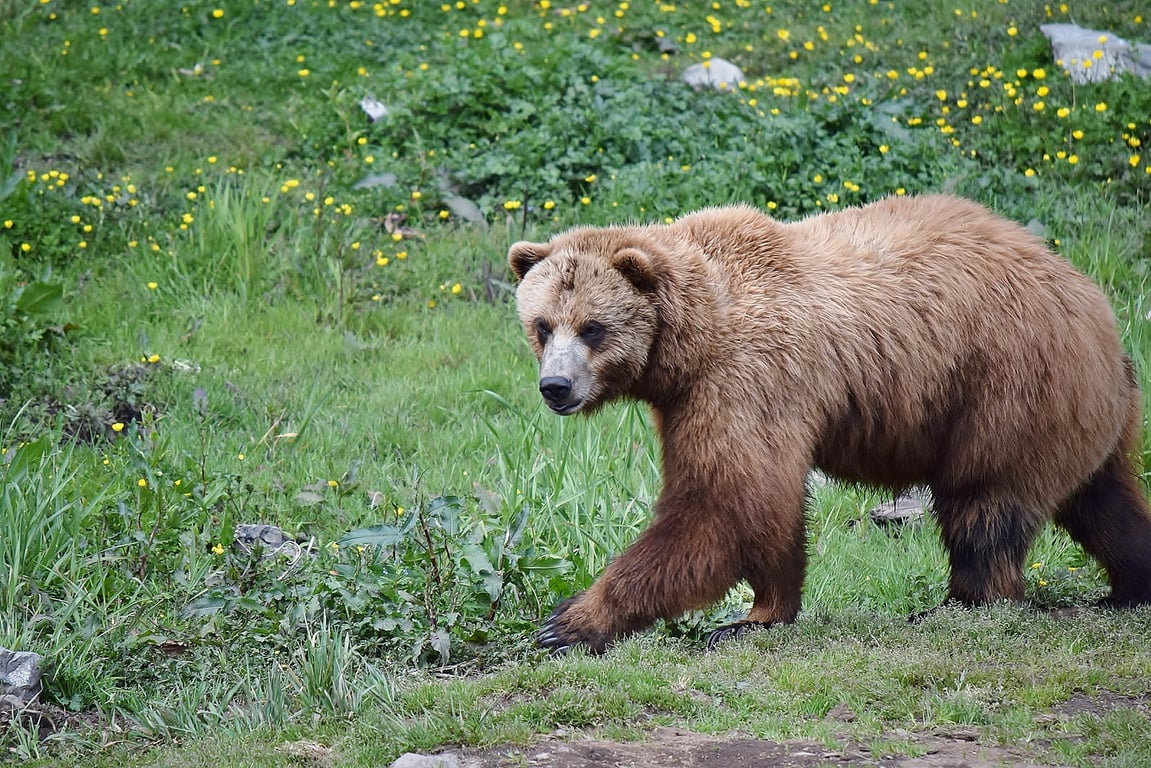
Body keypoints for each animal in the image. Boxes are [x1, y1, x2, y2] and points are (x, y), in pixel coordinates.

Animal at [507, 194, 1151, 654]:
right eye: (542, 324)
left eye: (593, 328)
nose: (555, 387)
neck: (691, 340)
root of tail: (1095, 303)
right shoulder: (693, 398)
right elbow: (760, 514)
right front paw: (761, 612)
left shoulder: (747, 377)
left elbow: (725, 503)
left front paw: (570, 621)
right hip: (1081, 411)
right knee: (1103, 499)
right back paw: (1129, 585)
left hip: (1005, 386)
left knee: (984, 504)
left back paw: (962, 601)